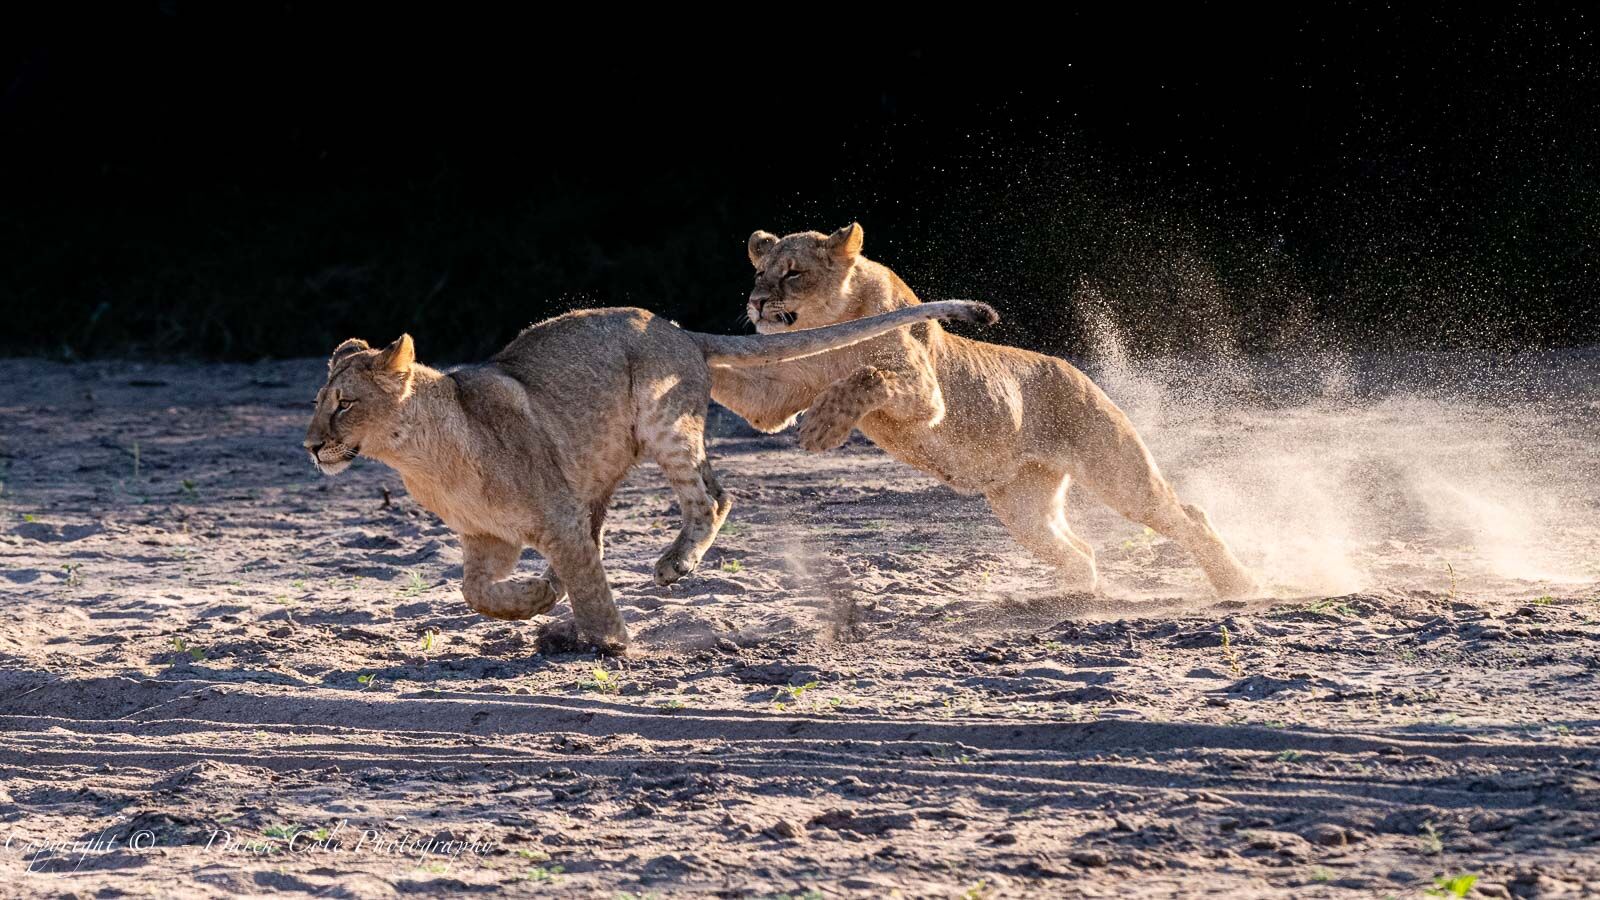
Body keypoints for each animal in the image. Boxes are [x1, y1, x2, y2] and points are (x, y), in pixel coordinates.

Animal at [303, 301, 997, 651]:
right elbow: (474, 592)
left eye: (344, 403)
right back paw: (559, 599)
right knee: (629, 524)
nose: (310, 446)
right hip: (600, 470)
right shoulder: (487, 539)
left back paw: (672, 566)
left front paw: (614, 641)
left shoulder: (551, 513)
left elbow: (590, 588)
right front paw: (533, 600)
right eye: (318, 402)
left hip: (665, 423)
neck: (421, 458)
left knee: (712, 498)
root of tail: (676, 328)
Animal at [711, 223, 1256, 598]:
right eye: (759, 272)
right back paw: (1074, 596)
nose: (756, 304)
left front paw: (822, 428)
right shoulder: (778, 392)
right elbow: (746, 390)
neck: (834, 322)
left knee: (1187, 515)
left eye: (793, 273)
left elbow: (867, 377)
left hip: (1118, 474)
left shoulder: (926, 392)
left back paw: (1239, 584)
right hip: (1022, 509)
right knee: (1079, 550)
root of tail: (1077, 372)